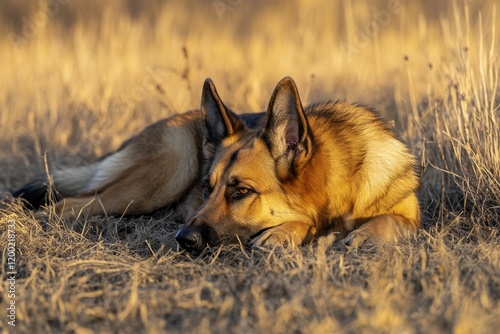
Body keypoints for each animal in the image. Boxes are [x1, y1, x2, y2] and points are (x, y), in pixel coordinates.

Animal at [11, 77, 420, 256]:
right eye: (208, 188)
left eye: (242, 191)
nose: (184, 240)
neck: (346, 182)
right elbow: (303, 221)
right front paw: (287, 231)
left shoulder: (410, 215)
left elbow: (392, 220)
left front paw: (365, 234)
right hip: (160, 178)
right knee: (68, 204)